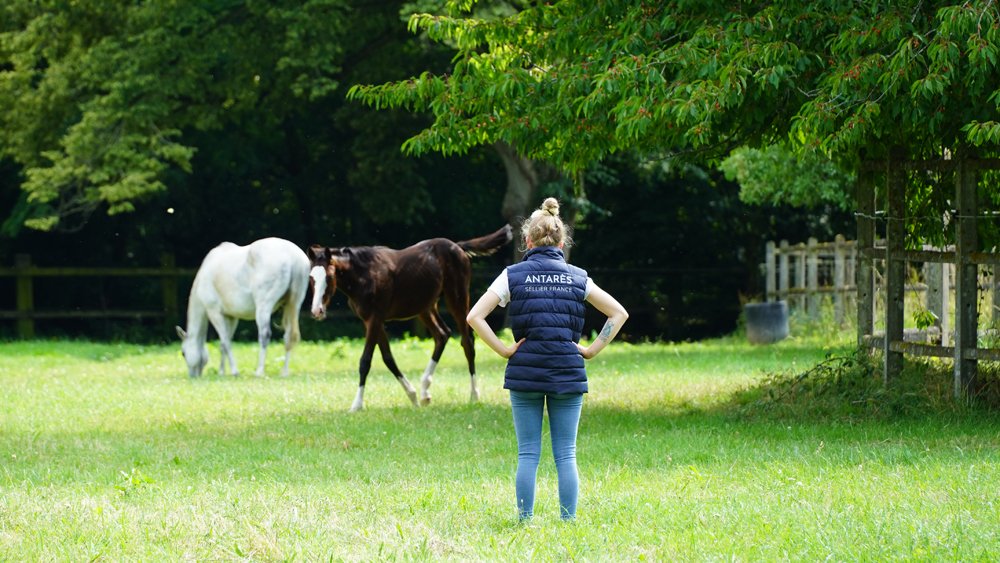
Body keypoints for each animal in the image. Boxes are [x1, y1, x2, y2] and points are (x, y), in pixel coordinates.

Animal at [176, 237, 311, 378]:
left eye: (183, 353)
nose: (193, 376)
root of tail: (293, 257)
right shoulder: (231, 317)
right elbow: (224, 344)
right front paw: (221, 372)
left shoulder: (215, 313)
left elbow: (225, 342)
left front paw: (234, 371)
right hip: (294, 305)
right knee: (289, 336)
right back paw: (284, 372)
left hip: (263, 308)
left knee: (264, 335)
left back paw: (259, 371)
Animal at [308, 225, 512, 412]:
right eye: (311, 278)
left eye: (329, 276)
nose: (317, 311)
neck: (363, 276)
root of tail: (458, 247)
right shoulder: (371, 321)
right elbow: (388, 358)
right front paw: (412, 396)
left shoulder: (375, 318)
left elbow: (365, 360)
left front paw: (356, 405)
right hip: (425, 307)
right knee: (442, 334)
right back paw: (424, 392)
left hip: (457, 299)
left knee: (467, 342)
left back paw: (474, 394)